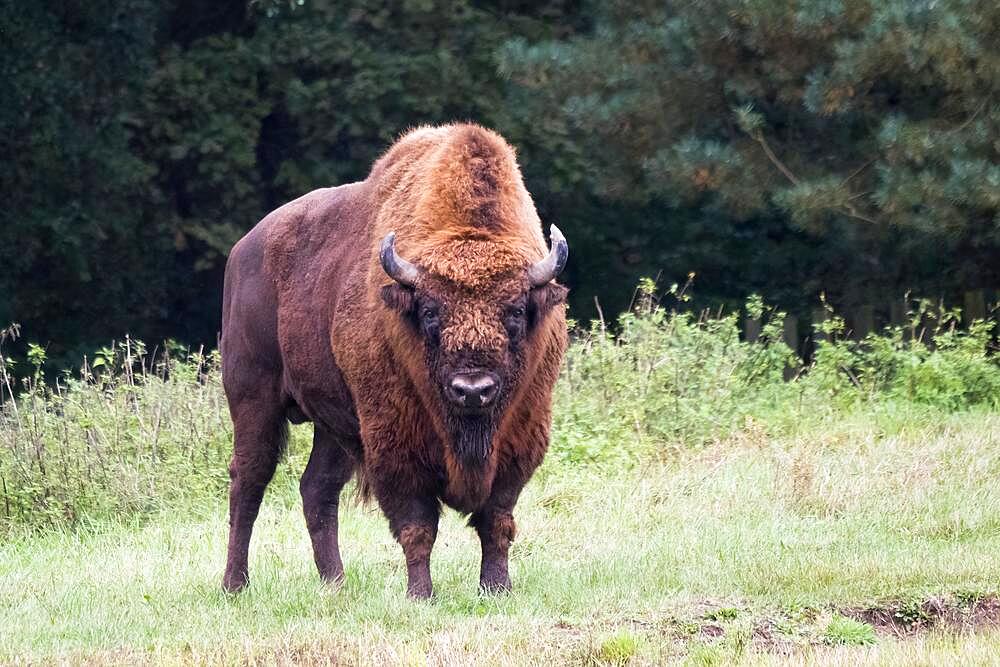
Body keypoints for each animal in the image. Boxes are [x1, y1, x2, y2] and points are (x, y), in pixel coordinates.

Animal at [224, 122, 572, 596]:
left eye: (516, 310)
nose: (473, 390)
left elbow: (497, 521)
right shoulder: (394, 444)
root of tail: (243, 250)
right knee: (249, 480)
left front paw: (496, 588)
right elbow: (417, 525)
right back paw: (235, 584)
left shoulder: (518, 440)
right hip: (253, 398)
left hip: (335, 423)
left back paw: (336, 584)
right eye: (429, 312)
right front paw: (420, 594)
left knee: (317, 489)